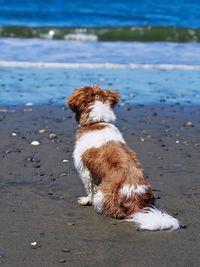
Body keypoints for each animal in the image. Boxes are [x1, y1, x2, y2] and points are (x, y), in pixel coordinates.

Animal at [67, 86, 180, 232]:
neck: (98, 122)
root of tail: (135, 200)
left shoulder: (85, 169)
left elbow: (90, 188)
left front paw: (86, 200)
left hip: (103, 195)